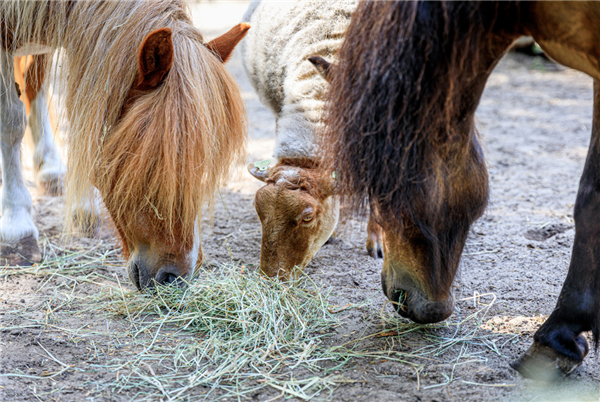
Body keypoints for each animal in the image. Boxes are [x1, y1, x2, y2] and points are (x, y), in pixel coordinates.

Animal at [0, 0, 247, 288]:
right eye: (152, 165)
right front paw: (17, 229)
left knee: (33, 83)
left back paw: (51, 170)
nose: (176, 276)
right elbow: (10, 122)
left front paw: (82, 209)